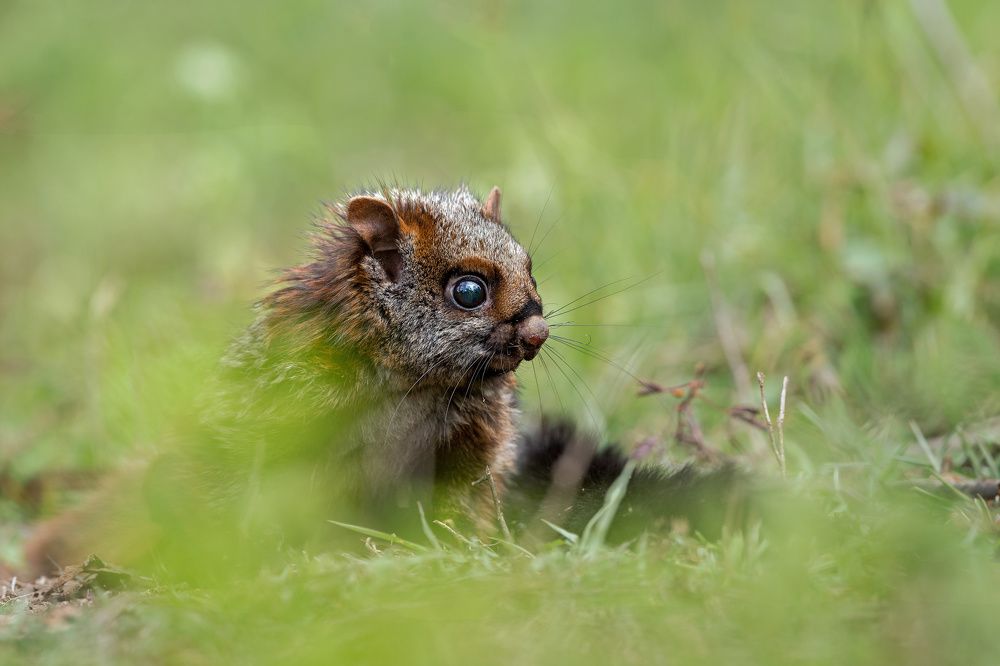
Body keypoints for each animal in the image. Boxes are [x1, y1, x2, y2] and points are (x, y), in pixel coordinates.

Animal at [24, 184, 746, 576]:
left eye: (532, 268)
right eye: (468, 290)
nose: (539, 334)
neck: (411, 387)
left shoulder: (471, 444)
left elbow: (464, 502)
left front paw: (459, 553)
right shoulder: (284, 424)